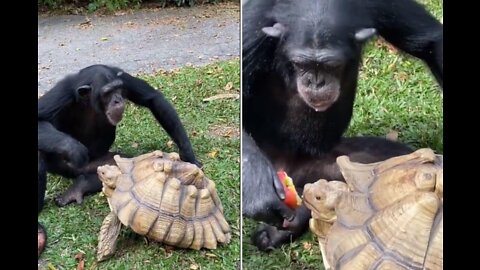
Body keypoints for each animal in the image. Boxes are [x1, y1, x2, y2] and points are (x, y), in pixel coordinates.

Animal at [38, 64, 201, 256]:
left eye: (117, 89)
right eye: (108, 93)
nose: (117, 100)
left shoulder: (123, 78)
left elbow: (152, 98)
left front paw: (188, 154)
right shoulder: (61, 93)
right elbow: (40, 119)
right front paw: (74, 149)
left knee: (116, 164)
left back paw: (79, 187)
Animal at [244, 0, 442, 251]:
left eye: (331, 65)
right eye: (301, 64)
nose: (316, 82)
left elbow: (431, 42)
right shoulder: (252, 25)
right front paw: (258, 189)